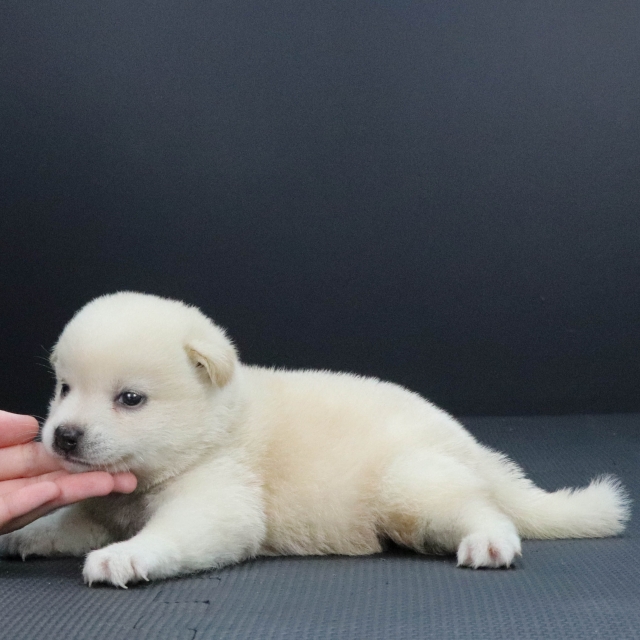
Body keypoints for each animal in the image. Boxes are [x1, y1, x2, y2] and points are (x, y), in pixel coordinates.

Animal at [0, 292, 630, 587]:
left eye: (130, 399)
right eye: (63, 388)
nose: (64, 436)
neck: (217, 425)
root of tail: (470, 445)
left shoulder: (221, 497)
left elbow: (183, 532)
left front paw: (126, 557)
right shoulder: (102, 508)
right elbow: (67, 523)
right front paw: (26, 534)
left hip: (411, 483)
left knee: (483, 509)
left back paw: (488, 543)